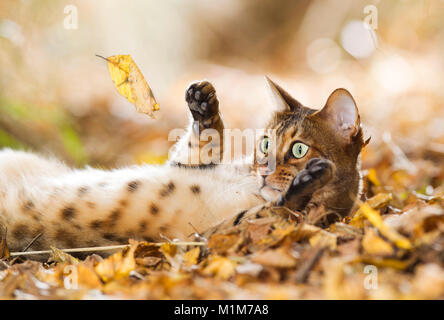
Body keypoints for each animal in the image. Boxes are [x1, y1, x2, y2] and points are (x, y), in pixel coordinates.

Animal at [0, 77, 366, 252]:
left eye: (299, 148)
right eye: (265, 143)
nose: (263, 170)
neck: (245, 182)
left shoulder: (203, 235)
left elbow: (273, 210)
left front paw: (306, 183)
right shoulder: (183, 165)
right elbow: (200, 143)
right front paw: (204, 105)